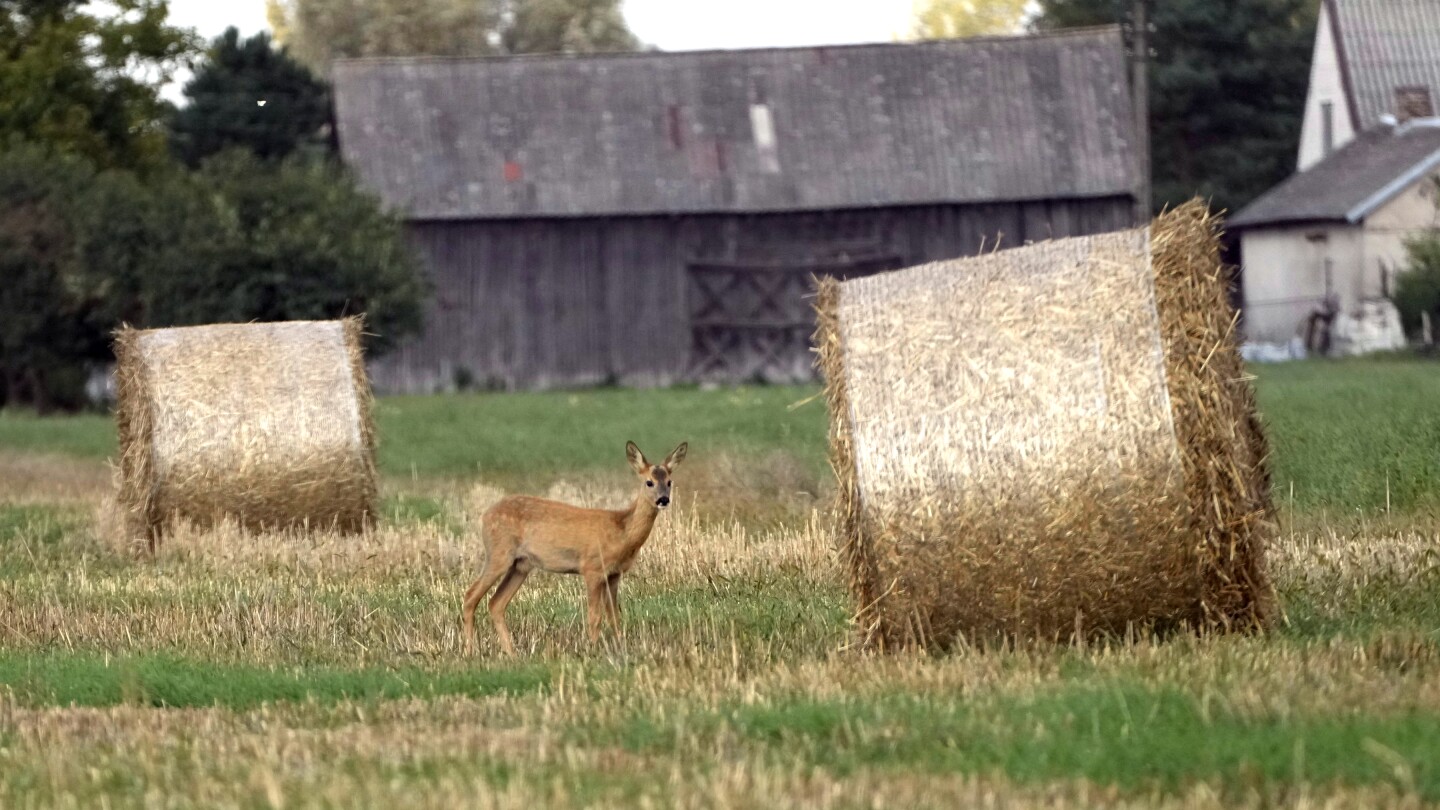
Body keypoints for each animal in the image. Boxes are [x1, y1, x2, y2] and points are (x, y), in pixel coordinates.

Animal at [460, 438, 685, 651]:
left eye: (669, 481)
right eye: (649, 482)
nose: (663, 500)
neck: (621, 531)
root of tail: (485, 516)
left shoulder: (614, 574)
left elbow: (614, 617)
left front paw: (620, 648)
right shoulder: (592, 568)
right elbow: (594, 617)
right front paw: (592, 650)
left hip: (521, 565)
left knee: (496, 603)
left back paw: (511, 654)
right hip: (499, 553)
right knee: (471, 596)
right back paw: (470, 651)